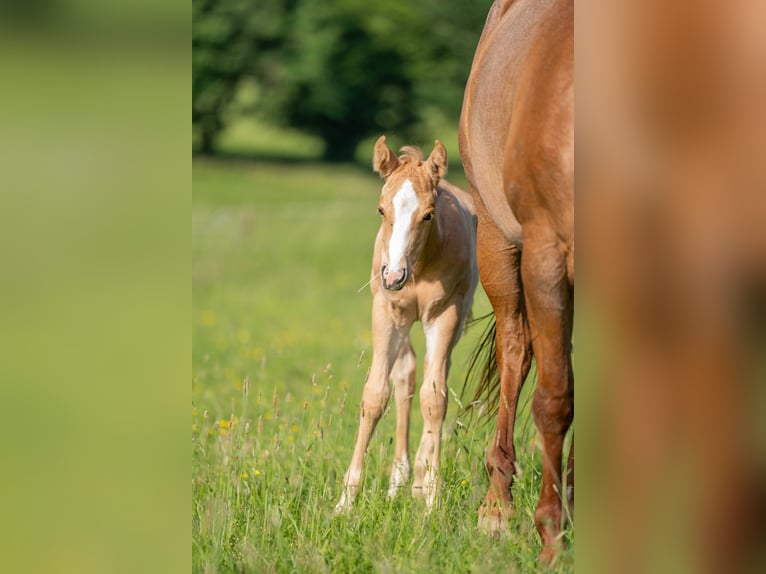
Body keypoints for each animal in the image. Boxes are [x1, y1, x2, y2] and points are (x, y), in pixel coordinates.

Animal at [338, 136, 480, 512]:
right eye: (380, 210)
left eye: (428, 214)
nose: (393, 276)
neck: (420, 264)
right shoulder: (387, 313)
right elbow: (375, 395)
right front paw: (345, 501)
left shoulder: (445, 315)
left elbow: (434, 399)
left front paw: (430, 495)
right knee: (406, 374)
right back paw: (398, 480)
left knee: (432, 376)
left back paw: (416, 480)